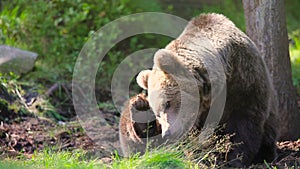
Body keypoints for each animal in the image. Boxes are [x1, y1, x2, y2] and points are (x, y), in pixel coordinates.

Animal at [135, 12, 278, 166]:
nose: (168, 133)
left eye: (168, 103)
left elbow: (245, 122)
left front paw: (234, 159)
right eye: (157, 114)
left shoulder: (243, 79)